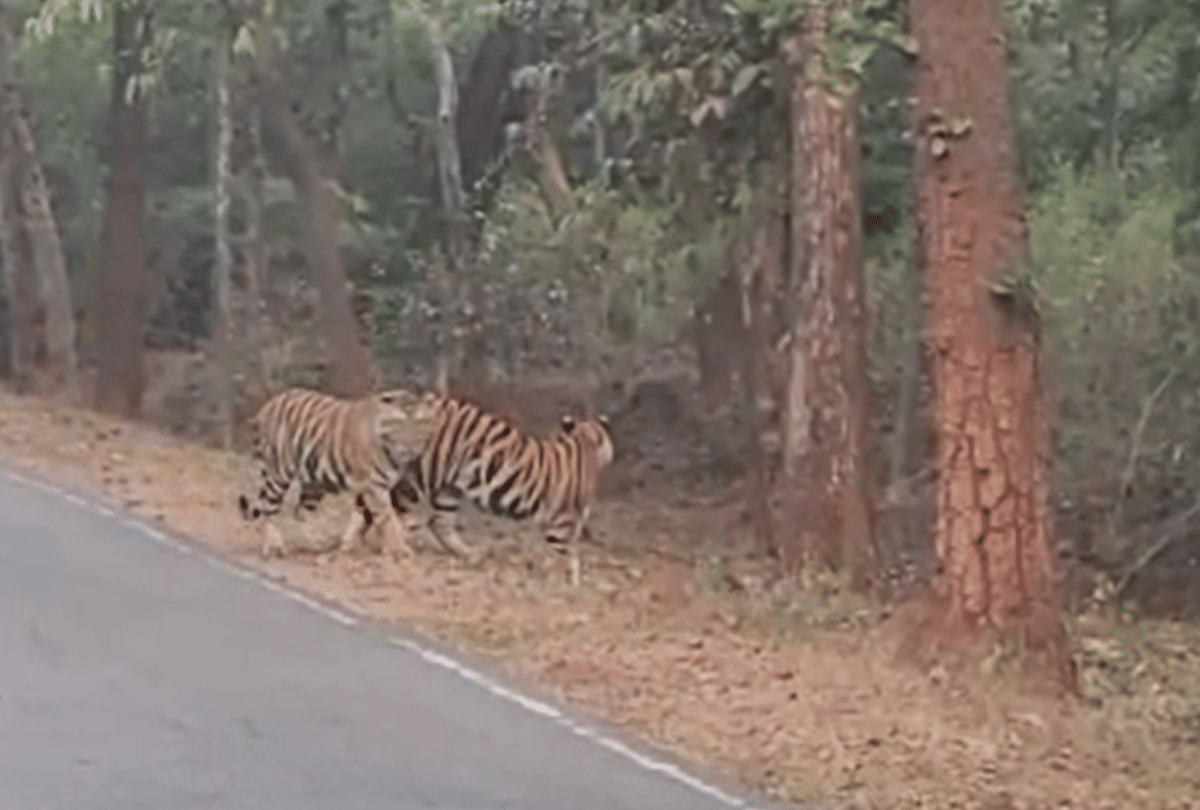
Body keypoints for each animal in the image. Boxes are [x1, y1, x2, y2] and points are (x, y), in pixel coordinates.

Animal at [236, 386, 440, 559]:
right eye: (398, 424)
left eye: (421, 423)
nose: (409, 448)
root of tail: (269, 405)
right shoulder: (375, 486)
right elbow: (390, 520)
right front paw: (400, 550)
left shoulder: (372, 487)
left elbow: (362, 517)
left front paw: (349, 545)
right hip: (280, 473)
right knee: (269, 508)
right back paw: (275, 548)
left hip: (313, 481)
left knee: (301, 512)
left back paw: (317, 545)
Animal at [383, 395, 615, 586]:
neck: (584, 443)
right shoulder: (562, 521)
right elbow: (565, 552)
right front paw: (568, 580)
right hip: (426, 472)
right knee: (399, 503)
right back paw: (398, 544)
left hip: (450, 488)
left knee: (439, 522)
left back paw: (470, 553)